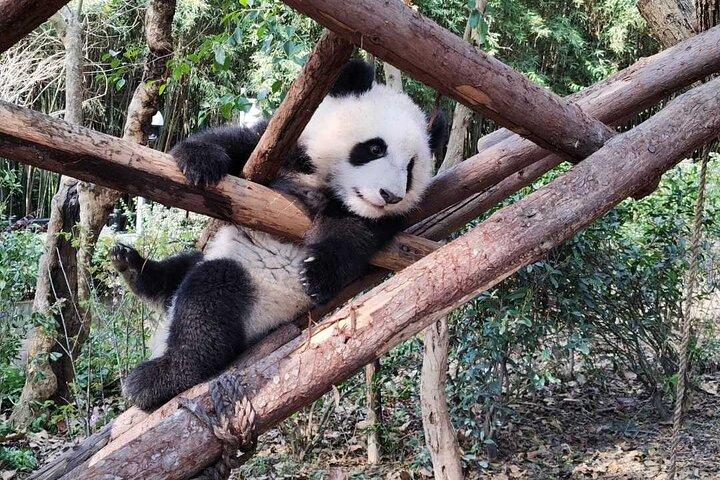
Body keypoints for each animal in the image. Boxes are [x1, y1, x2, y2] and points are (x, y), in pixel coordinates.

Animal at [111, 60, 446, 411]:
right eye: (375, 147)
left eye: (411, 168)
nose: (390, 196)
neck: (325, 183)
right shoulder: (289, 146)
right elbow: (243, 142)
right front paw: (199, 159)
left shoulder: (376, 218)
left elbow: (353, 235)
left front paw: (316, 273)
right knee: (182, 269)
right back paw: (134, 268)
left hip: (262, 298)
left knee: (209, 304)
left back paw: (157, 378)